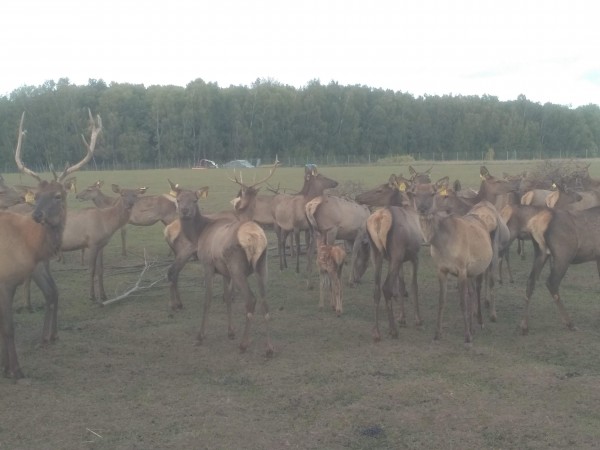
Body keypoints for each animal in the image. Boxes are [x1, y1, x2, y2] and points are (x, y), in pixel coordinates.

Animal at [0, 110, 97, 378]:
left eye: (57, 195)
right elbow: (8, 327)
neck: (25, 240)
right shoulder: (5, 280)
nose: (37, 215)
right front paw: (15, 371)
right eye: (36, 195)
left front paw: (5, 366)